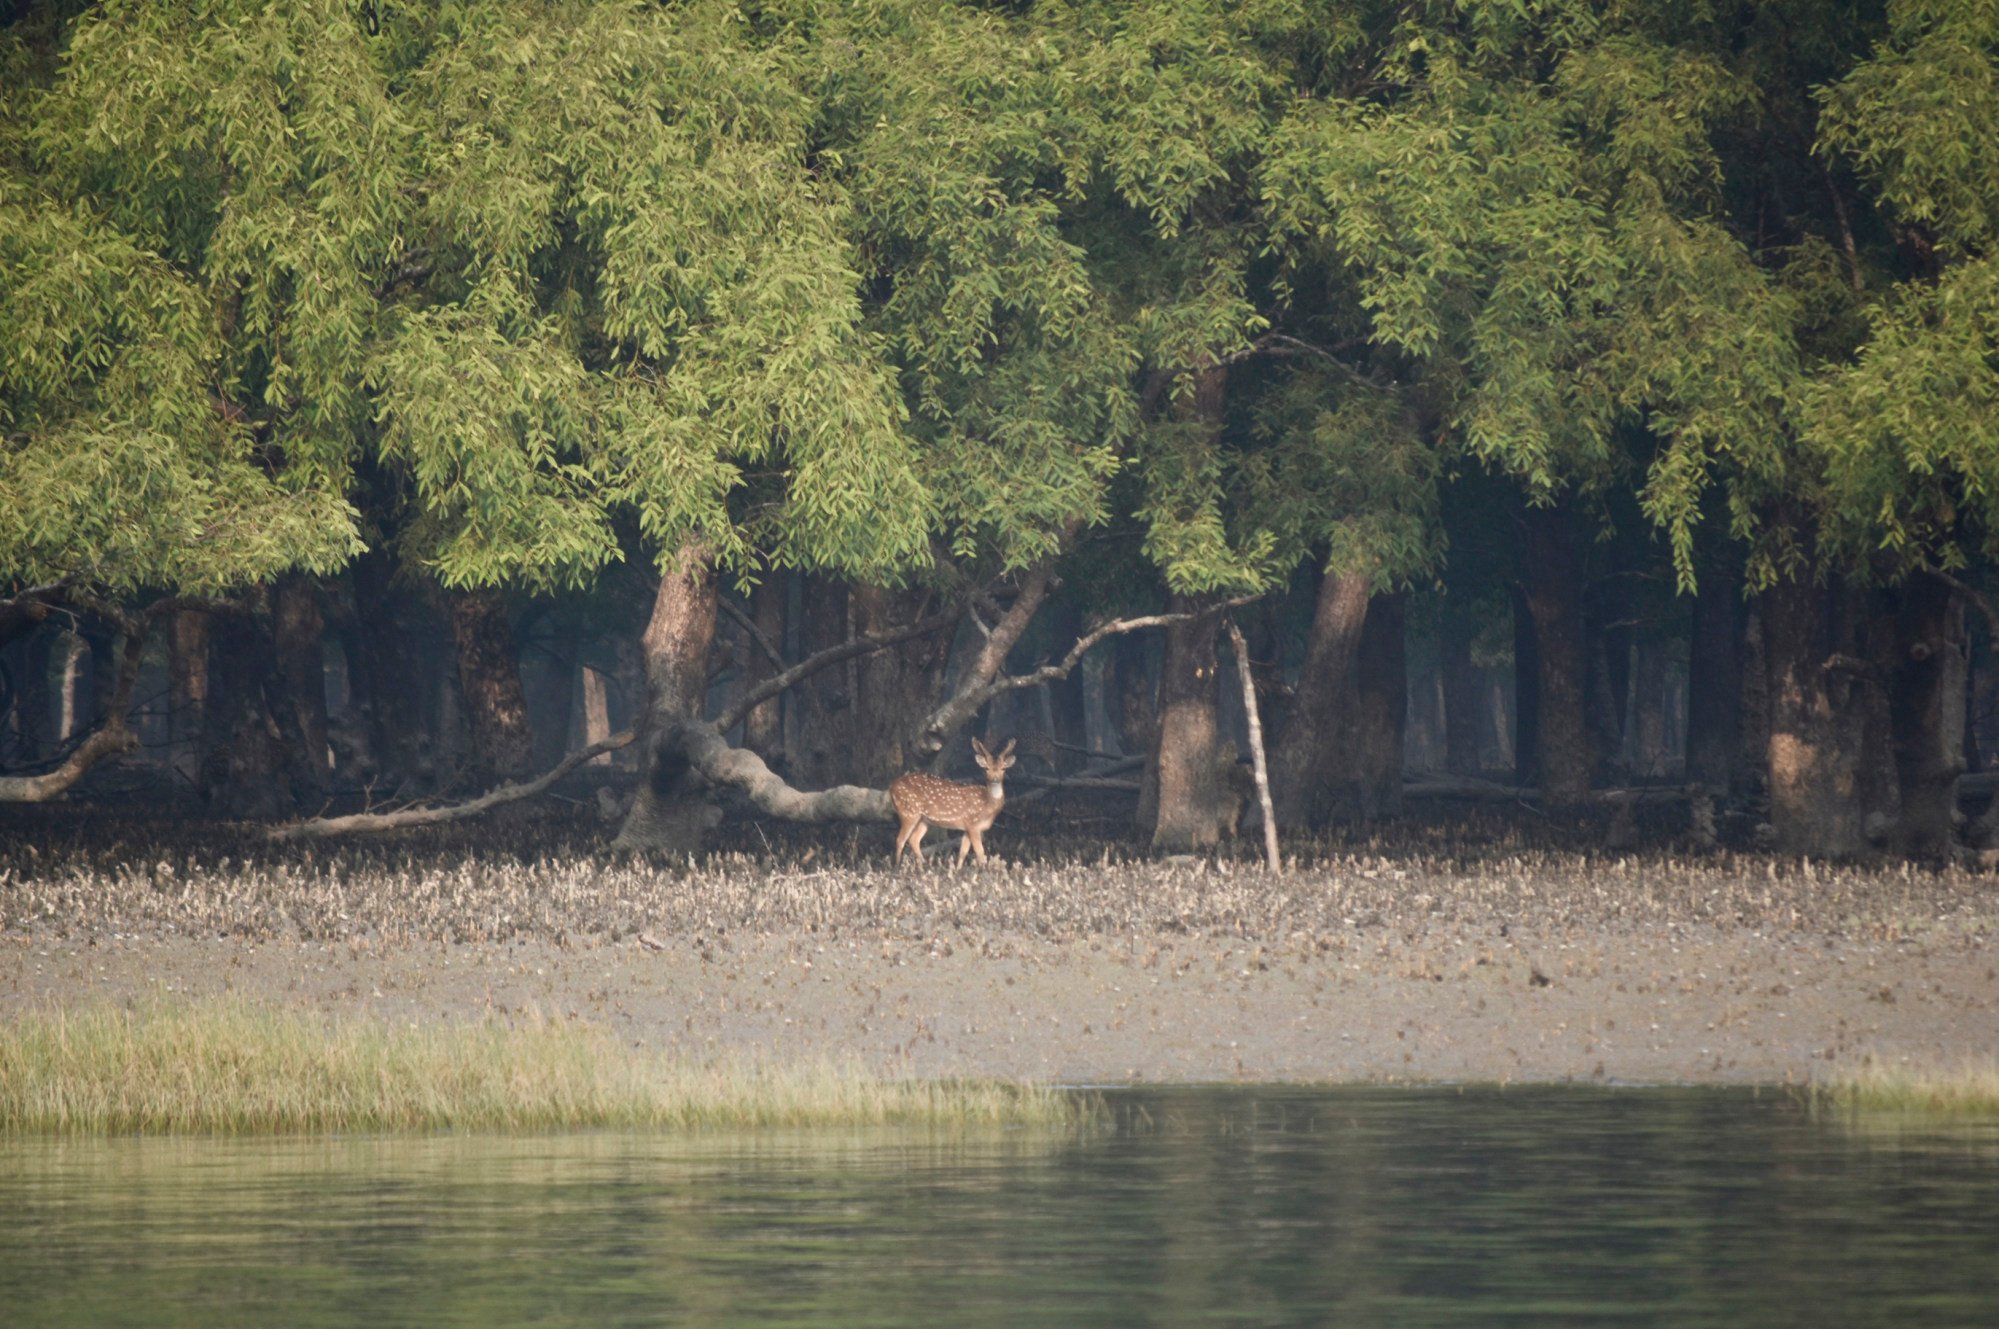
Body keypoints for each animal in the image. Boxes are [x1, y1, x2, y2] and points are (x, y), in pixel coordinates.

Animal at [891, 731, 1015, 867]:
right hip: (908, 812)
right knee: (900, 840)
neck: (987, 806)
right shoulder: (973, 824)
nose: (995, 779)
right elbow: (980, 854)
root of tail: (892, 787)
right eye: (986, 768)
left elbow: (963, 852)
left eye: (1003, 768)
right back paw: (897, 867)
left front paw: (957, 870)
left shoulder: (968, 827)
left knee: (913, 839)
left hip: (924, 819)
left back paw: (924, 866)